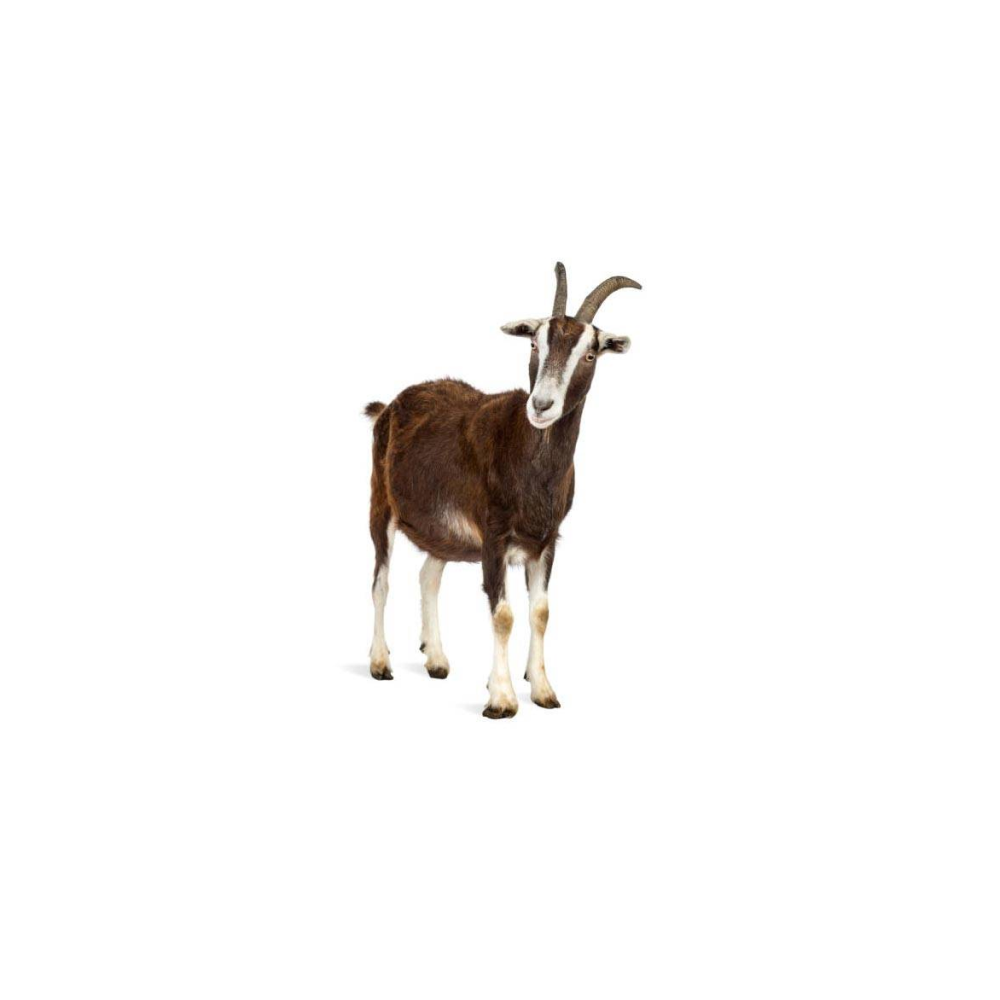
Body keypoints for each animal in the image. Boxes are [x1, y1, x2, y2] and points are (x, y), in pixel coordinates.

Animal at [364, 263, 640, 718]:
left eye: (589, 353)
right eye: (533, 343)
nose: (541, 406)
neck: (528, 461)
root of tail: (388, 406)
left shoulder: (546, 540)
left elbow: (541, 612)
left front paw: (543, 689)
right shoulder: (493, 536)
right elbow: (504, 615)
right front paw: (502, 698)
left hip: (443, 532)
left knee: (428, 576)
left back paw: (436, 659)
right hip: (380, 504)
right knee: (381, 581)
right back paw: (380, 662)